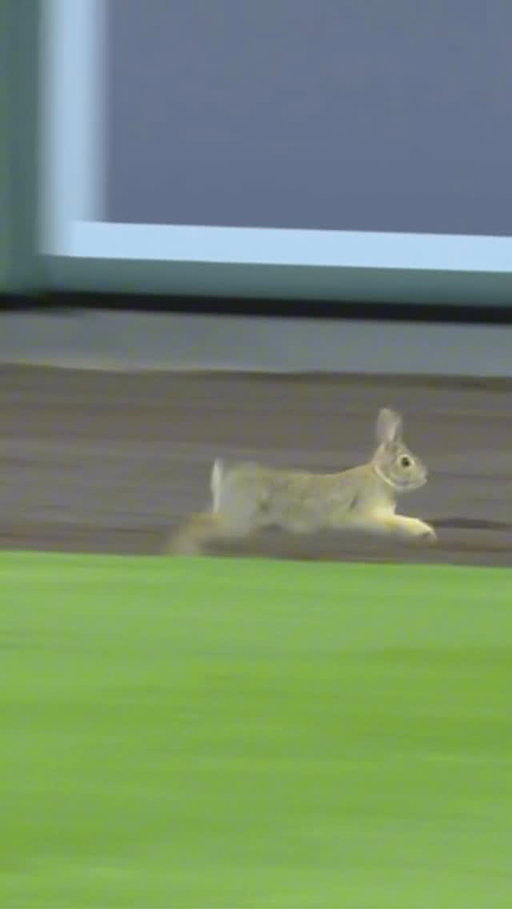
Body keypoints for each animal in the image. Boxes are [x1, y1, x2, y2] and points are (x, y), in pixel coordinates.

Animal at [167, 407, 437, 556]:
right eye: (405, 462)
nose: (426, 477)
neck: (381, 475)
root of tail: (226, 478)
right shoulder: (367, 513)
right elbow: (396, 523)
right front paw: (425, 532)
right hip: (237, 520)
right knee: (196, 524)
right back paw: (183, 554)